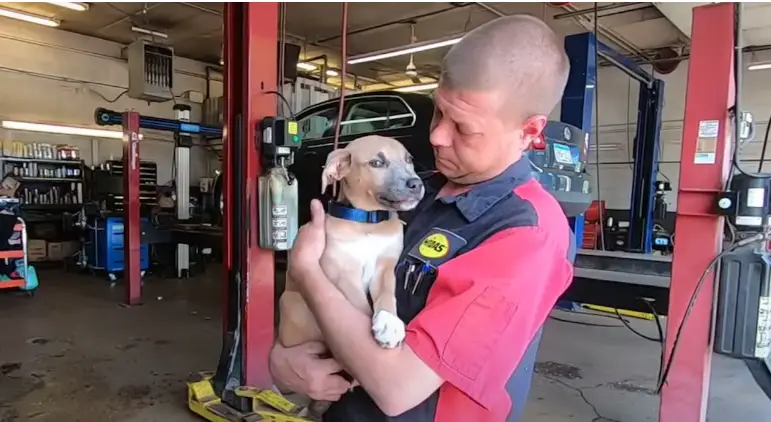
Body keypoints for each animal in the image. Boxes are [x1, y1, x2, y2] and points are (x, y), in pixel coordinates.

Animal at [278, 136, 426, 418]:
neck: (367, 223)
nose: (416, 184)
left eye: (409, 160)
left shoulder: (385, 267)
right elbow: (360, 308)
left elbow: (387, 296)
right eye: (377, 163)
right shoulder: (341, 273)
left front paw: (389, 324)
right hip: (294, 304)